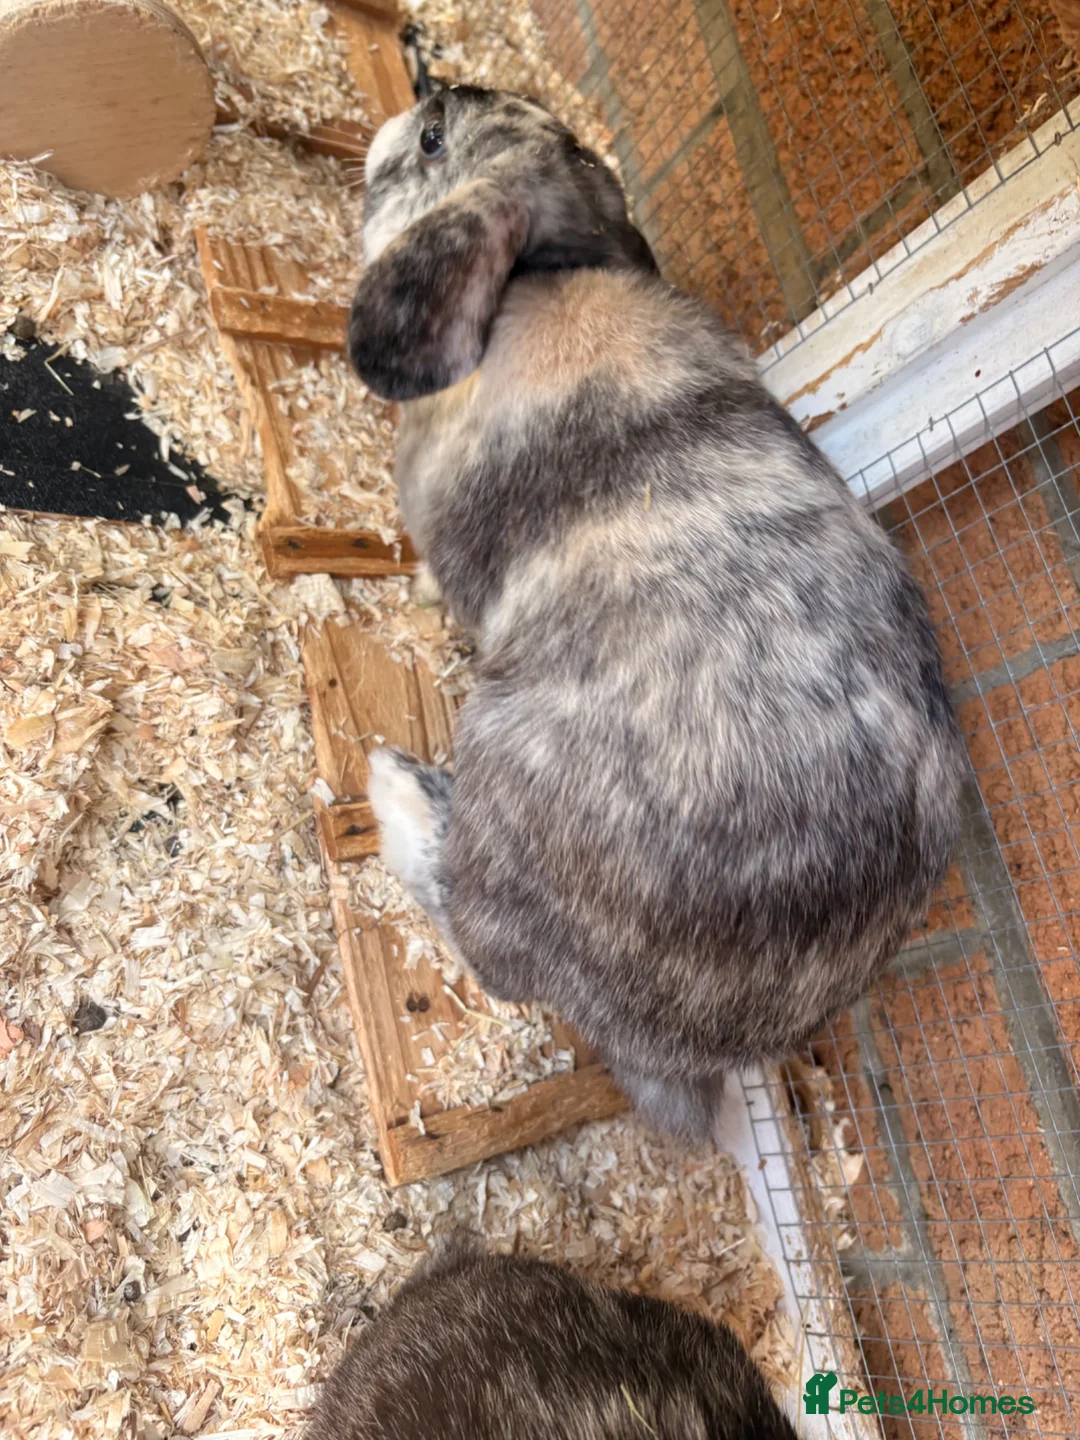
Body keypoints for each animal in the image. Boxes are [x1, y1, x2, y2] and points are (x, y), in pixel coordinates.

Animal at [348, 85, 965, 1138]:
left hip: (505, 766)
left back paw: (398, 788)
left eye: (434, 141)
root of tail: (693, 1048)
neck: (547, 272)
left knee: (478, 934)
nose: (426, 94)